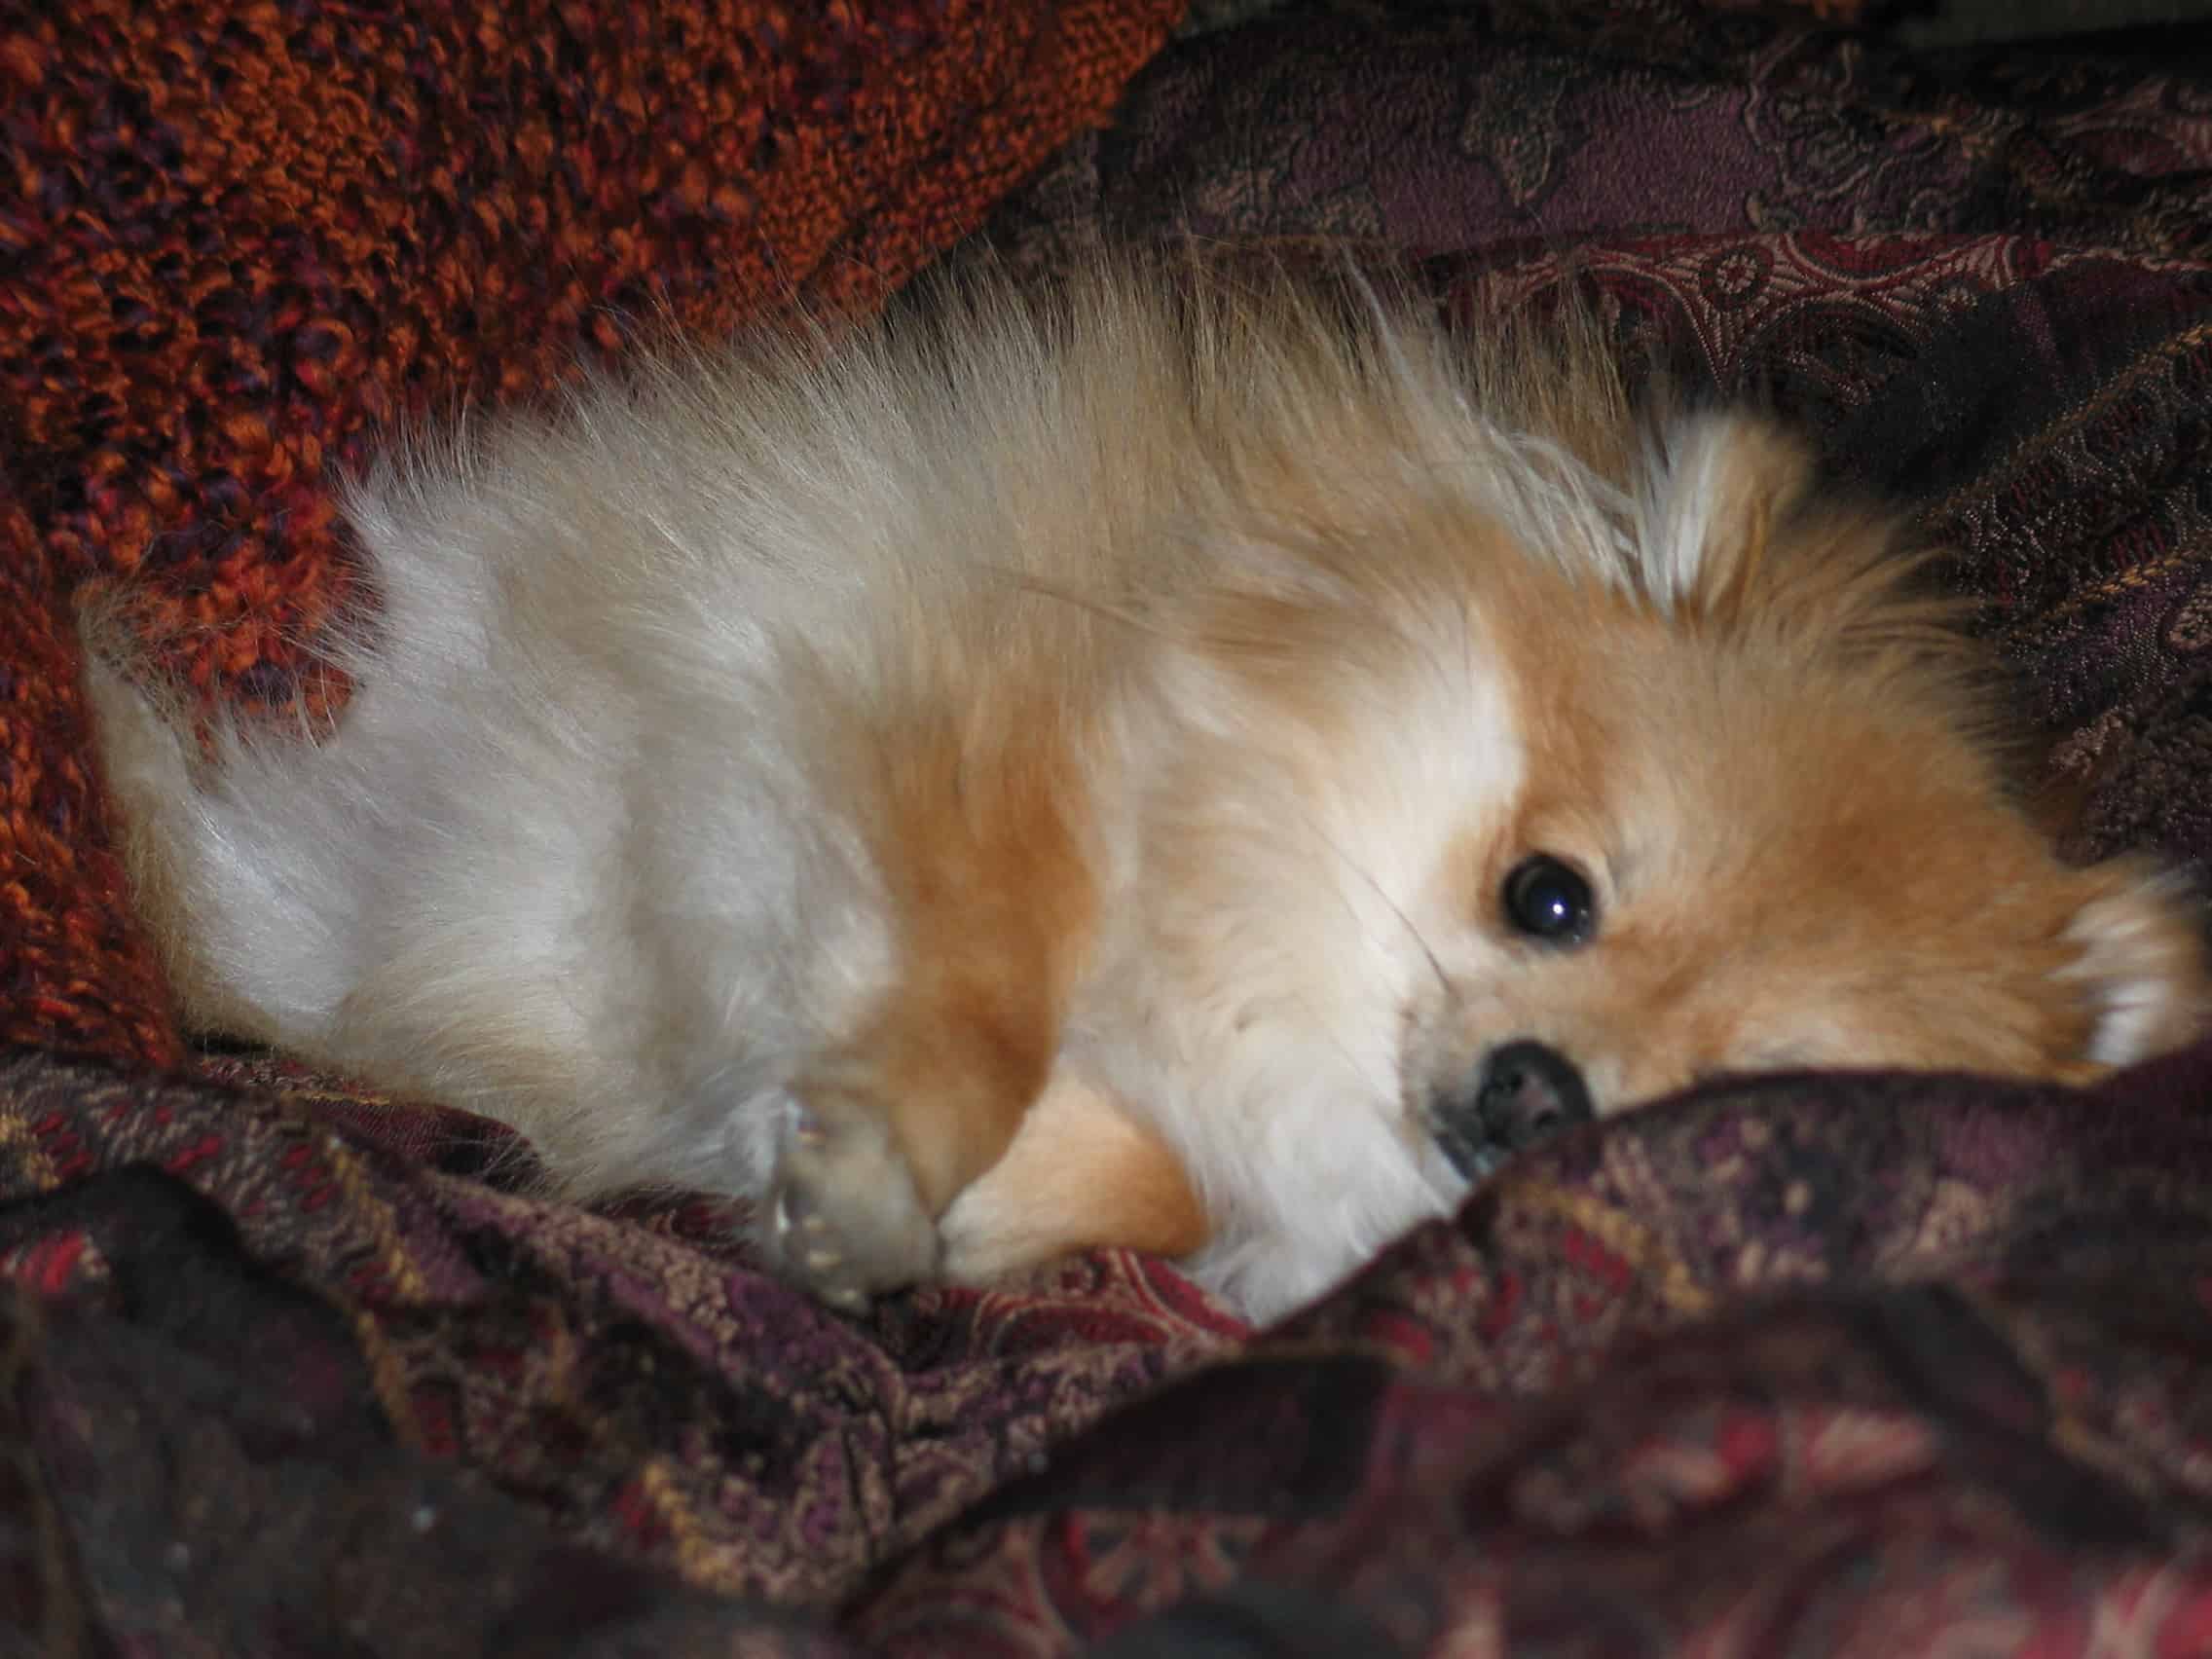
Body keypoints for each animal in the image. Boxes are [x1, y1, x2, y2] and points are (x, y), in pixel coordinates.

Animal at [82, 256, 2212, 1327]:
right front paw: (886, 1161)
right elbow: (976, 990)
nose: (1538, 1089)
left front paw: (934, 1204)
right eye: (1546, 894)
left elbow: (1165, 1176)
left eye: (1746, 1090)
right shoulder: (940, 743)